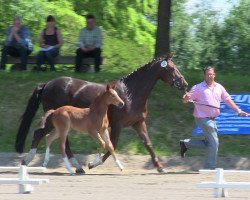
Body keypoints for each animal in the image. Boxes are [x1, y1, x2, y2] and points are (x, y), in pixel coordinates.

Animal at [15, 54, 188, 173]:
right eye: (171, 68)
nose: (184, 84)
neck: (130, 93)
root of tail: (46, 84)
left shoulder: (138, 123)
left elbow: (148, 144)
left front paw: (160, 167)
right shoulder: (117, 124)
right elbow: (112, 145)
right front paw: (93, 164)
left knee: (57, 141)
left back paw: (77, 167)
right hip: (55, 120)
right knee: (41, 135)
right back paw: (28, 161)